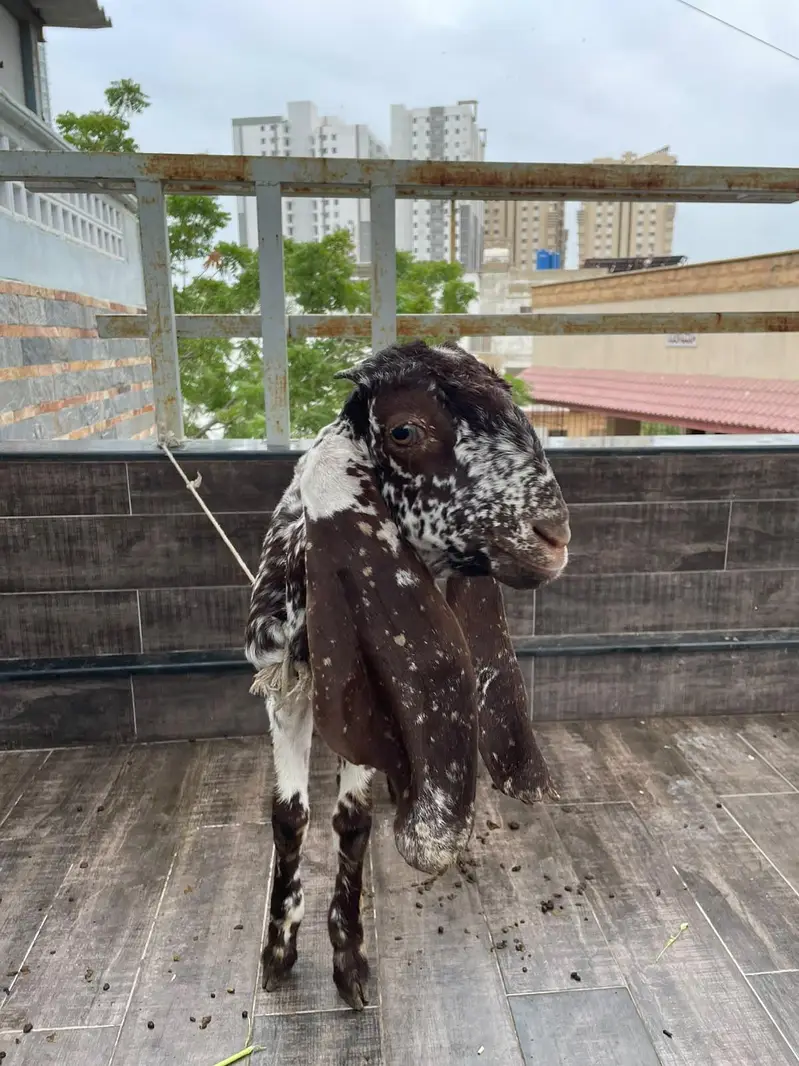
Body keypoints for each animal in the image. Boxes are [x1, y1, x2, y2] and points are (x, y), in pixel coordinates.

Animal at [245, 340, 570, 1010]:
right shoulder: (283, 692)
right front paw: (278, 952)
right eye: (404, 430)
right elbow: (289, 817)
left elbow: (352, 821)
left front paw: (349, 960)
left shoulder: (366, 693)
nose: (554, 537)